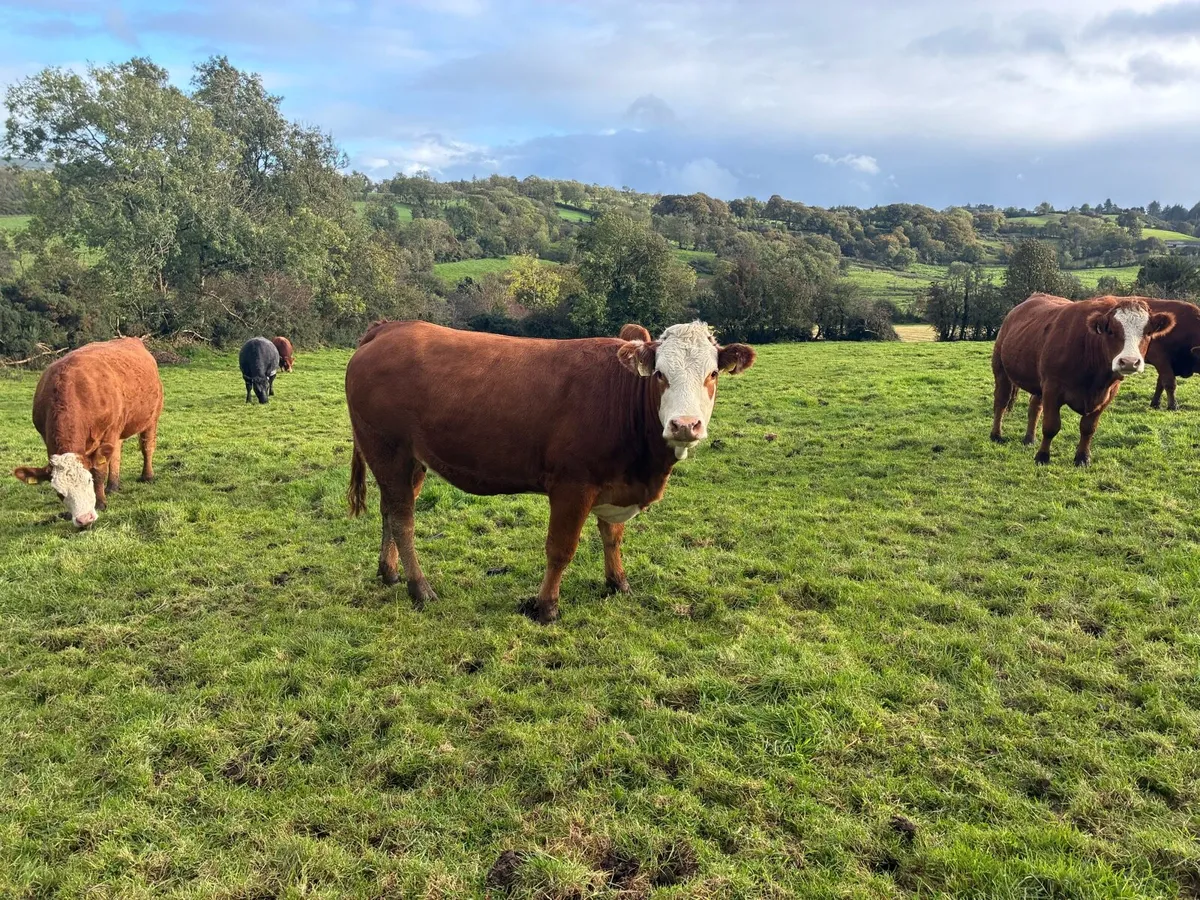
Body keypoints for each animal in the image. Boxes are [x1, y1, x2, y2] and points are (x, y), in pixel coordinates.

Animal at [12, 337, 163, 528]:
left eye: (88, 481)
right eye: (59, 492)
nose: (84, 519)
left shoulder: (108, 432)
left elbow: (99, 471)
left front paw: (100, 503)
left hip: (151, 417)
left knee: (147, 446)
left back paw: (147, 476)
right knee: (116, 453)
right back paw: (112, 485)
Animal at [345, 319, 756, 623]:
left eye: (713, 374)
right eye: (659, 375)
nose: (685, 425)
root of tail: (391, 327)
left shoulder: (614, 484)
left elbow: (612, 537)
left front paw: (618, 582)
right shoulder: (572, 486)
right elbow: (560, 549)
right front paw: (546, 607)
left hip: (410, 461)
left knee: (390, 511)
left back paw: (389, 572)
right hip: (389, 450)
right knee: (403, 520)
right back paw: (420, 588)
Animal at [991, 293, 1175, 466]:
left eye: (1148, 332)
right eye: (1111, 331)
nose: (1129, 361)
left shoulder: (1108, 393)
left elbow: (1088, 428)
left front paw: (1082, 457)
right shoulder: (1052, 387)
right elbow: (1051, 426)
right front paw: (1042, 456)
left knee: (1034, 407)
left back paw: (1029, 438)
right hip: (1001, 369)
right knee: (1001, 402)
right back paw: (996, 435)